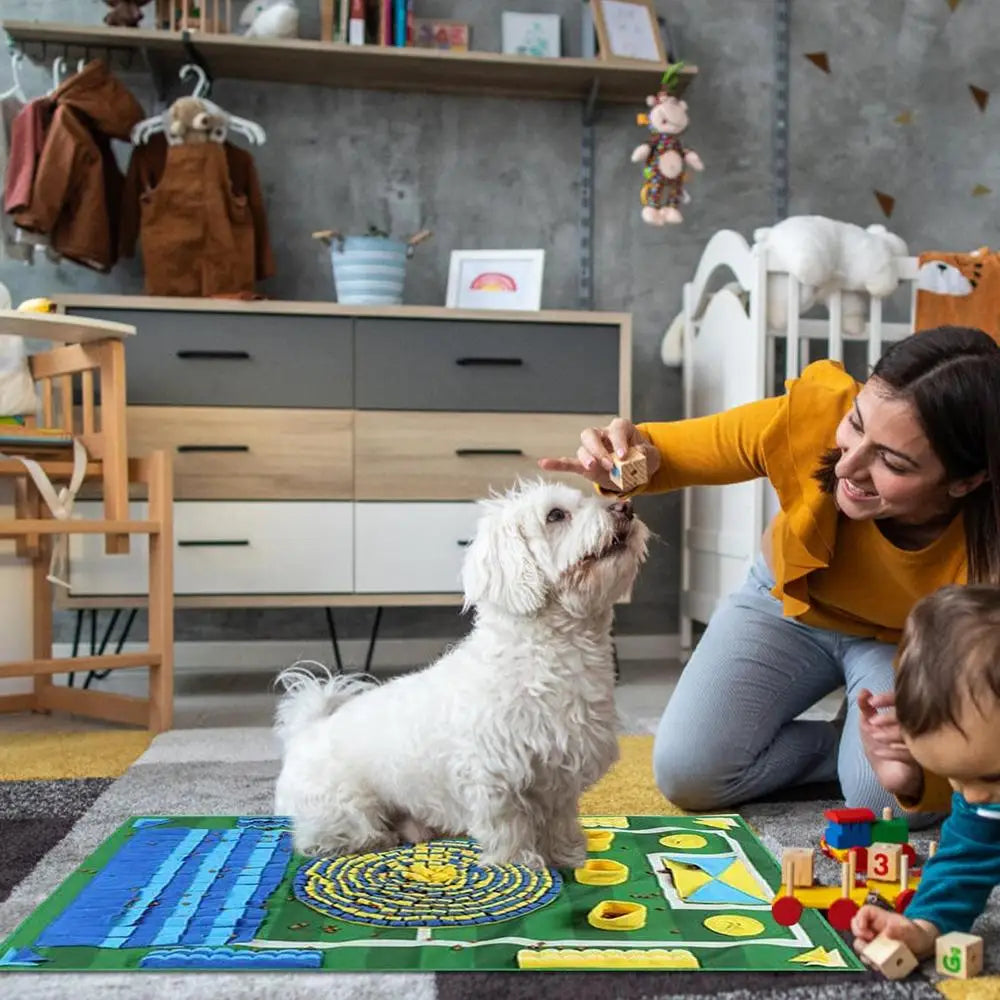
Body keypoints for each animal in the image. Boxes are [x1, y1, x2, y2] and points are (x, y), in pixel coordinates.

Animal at [274, 476, 648, 868]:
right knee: (325, 835)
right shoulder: (495, 775)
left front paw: (568, 857)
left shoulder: (559, 774)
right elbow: (509, 827)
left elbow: (558, 822)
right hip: (345, 808)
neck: (551, 653)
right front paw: (519, 864)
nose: (625, 507)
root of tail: (305, 731)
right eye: (555, 515)